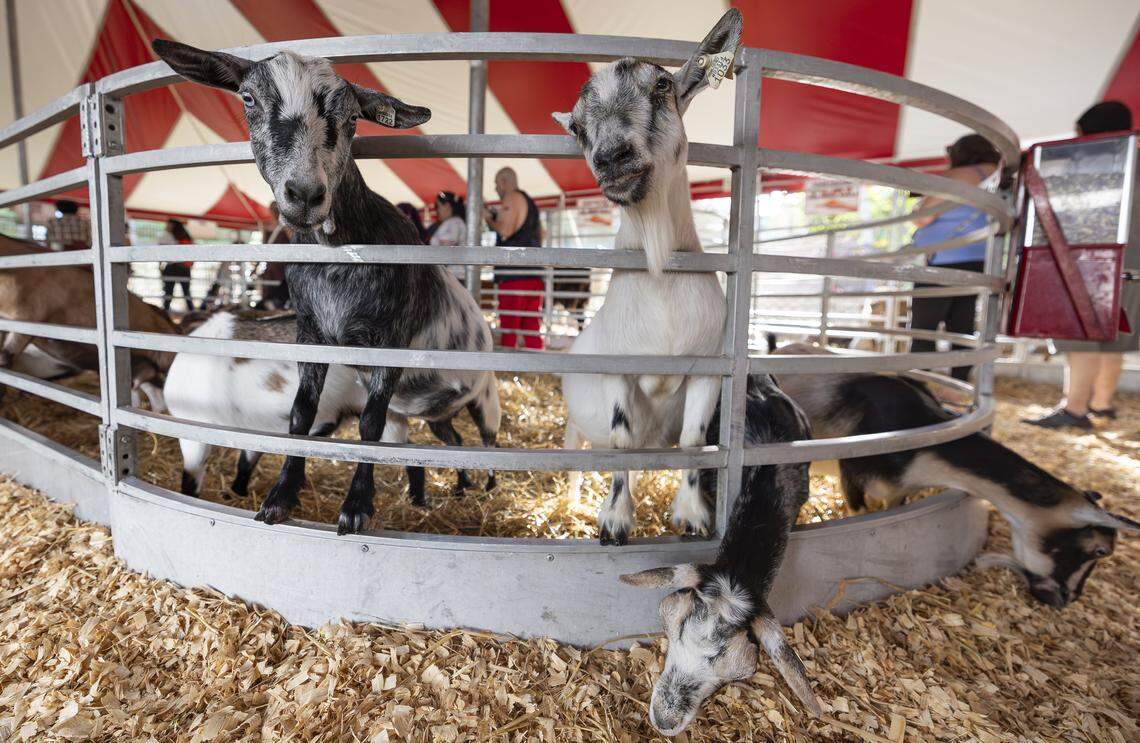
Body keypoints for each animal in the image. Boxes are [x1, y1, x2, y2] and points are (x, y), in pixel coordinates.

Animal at [553, 10, 739, 544]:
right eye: (576, 126)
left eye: (661, 84)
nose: (612, 157)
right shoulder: (618, 371)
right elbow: (621, 439)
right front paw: (614, 523)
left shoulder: (707, 370)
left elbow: (694, 441)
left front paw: (692, 516)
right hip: (573, 423)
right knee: (577, 454)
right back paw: (572, 500)